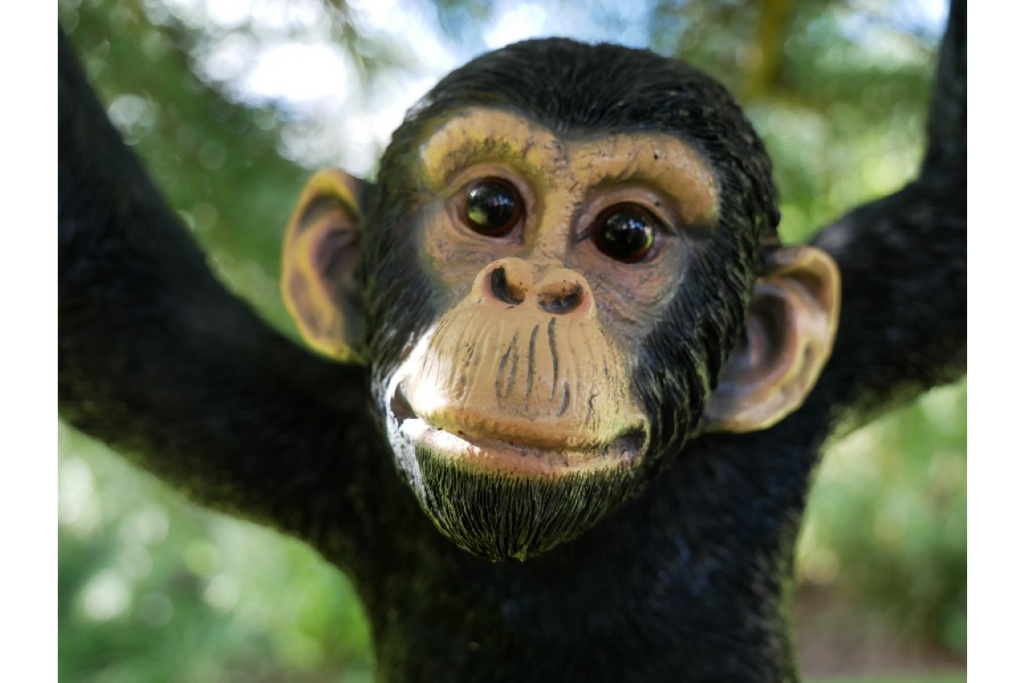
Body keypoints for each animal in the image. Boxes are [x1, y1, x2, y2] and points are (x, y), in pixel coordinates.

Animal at [55, 0, 969, 679]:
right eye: (490, 208)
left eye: (627, 234)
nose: (535, 287)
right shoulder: (302, 434)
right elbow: (115, 296)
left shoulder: (836, 369)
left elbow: (951, 209)